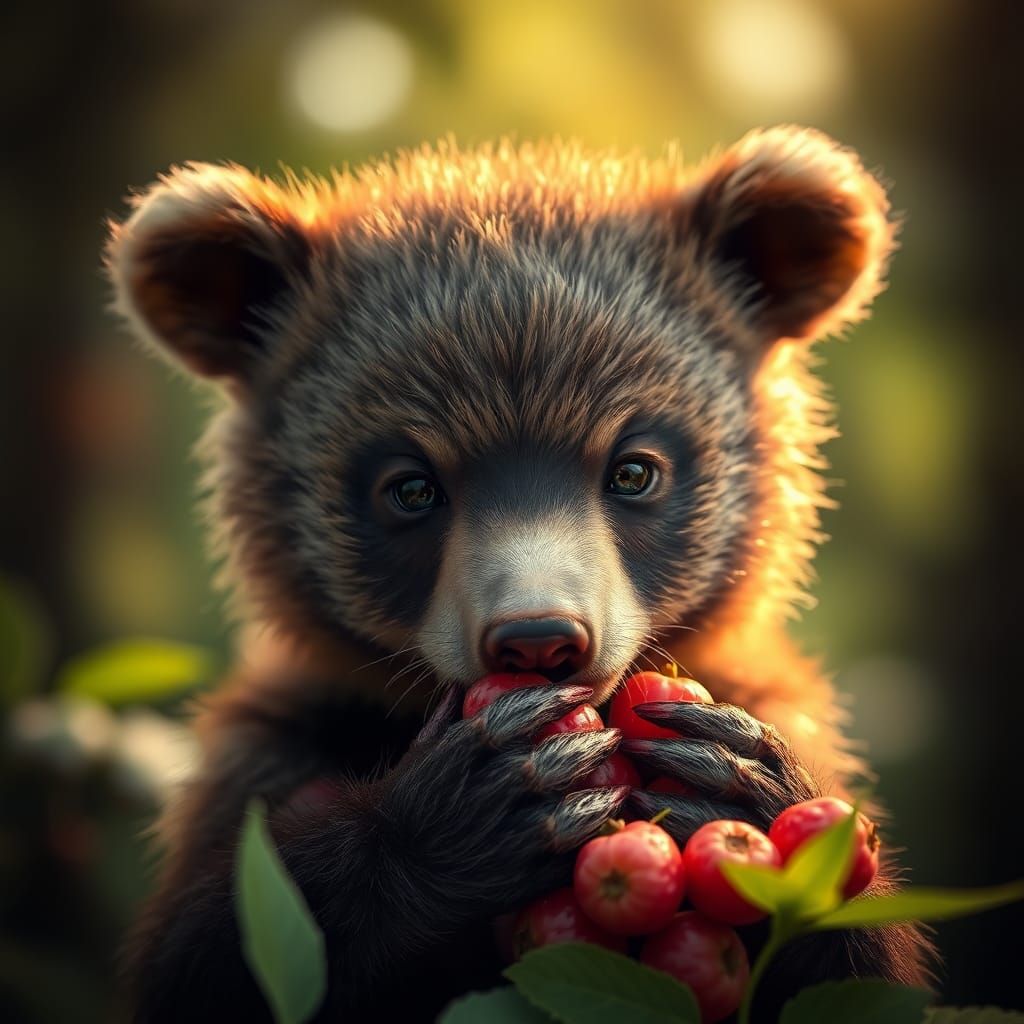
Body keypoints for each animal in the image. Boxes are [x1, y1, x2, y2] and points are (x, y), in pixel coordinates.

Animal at [105, 126, 930, 1022]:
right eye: (411, 486)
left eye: (634, 468)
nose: (539, 637)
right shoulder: (276, 752)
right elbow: (220, 951)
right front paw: (483, 803)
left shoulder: (790, 708)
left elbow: (851, 968)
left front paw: (739, 779)